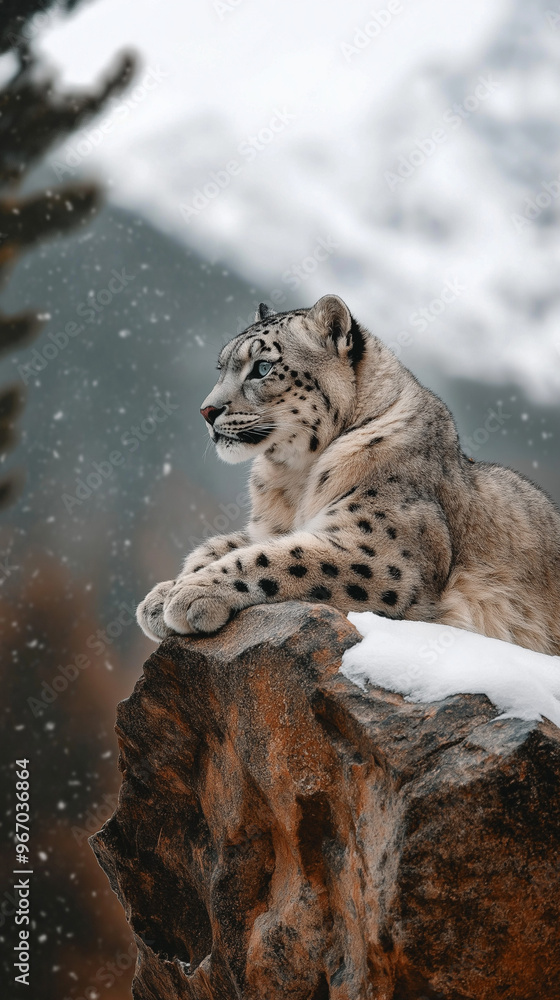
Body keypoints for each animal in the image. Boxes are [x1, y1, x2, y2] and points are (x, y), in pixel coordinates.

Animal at [137, 294, 560, 656]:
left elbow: (281, 557)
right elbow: (226, 544)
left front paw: (190, 594)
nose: (207, 411)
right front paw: (162, 595)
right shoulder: (274, 528)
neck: (294, 482)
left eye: (262, 367)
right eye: (221, 367)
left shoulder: (379, 554)